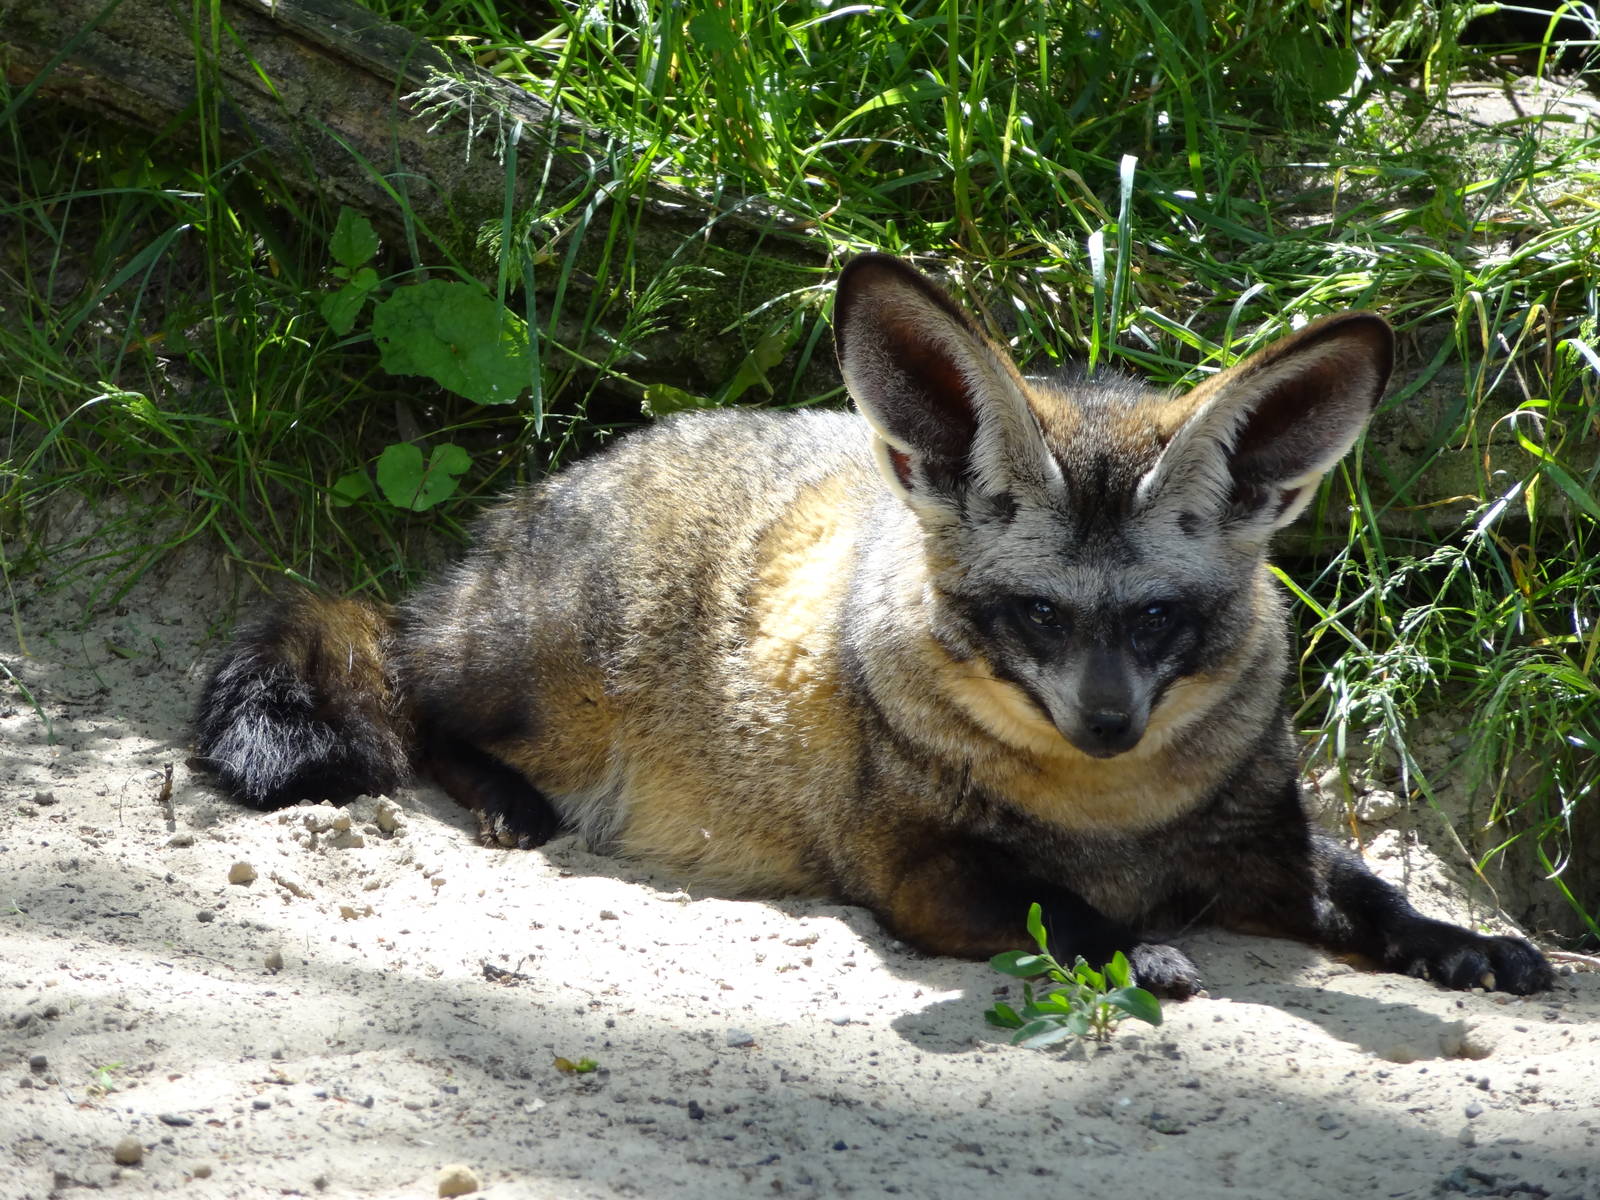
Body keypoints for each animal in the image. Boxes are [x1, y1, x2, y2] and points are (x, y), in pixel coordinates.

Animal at [195, 253, 1551, 997]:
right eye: (1033, 613)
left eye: (1158, 617)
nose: (1108, 724)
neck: (1110, 819)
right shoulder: (918, 872)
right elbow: (1060, 913)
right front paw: (1136, 949)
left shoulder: (1263, 849)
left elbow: (1368, 891)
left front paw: (1455, 940)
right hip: (547, 672)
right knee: (413, 700)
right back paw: (502, 795)